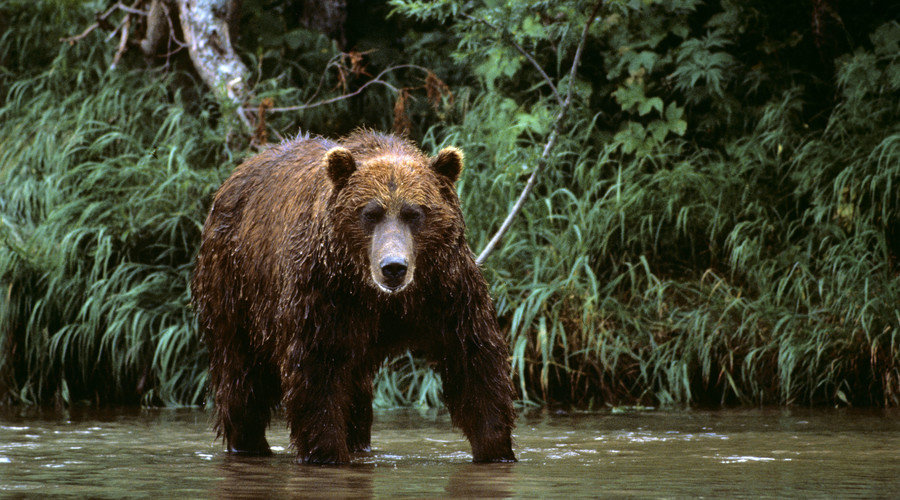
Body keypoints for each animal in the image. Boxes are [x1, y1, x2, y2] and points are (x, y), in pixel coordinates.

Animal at [191, 129, 516, 464]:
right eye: (370, 213)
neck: (380, 297)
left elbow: (474, 361)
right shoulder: (324, 292)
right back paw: (249, 443)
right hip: (236, 288)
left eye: (414, 213)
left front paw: (496, 448)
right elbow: (316, 372)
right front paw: (327, 452)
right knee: (242, 378)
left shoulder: (445, 289)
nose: (393, 267)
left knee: (355, 391)